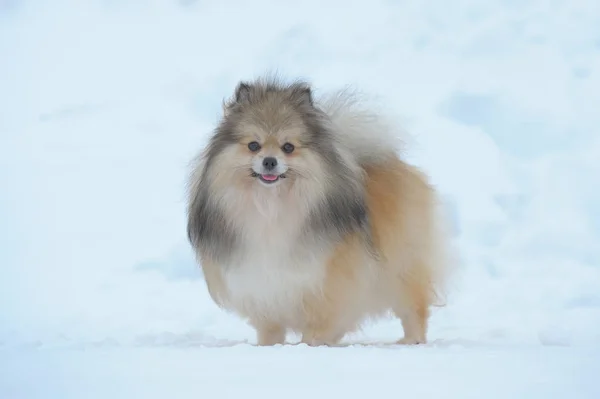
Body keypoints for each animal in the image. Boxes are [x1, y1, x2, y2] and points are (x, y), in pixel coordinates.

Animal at [185, 75, 452, 346]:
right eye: (253, 145)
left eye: (288, 147)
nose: (269, 161)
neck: (271, 207)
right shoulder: (261, 286)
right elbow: (271, 326)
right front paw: (269, 346)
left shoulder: (325, 282)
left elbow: (319, 322)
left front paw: (311, 344)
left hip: (400, 266)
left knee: (413, 307)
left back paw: (412, 340)